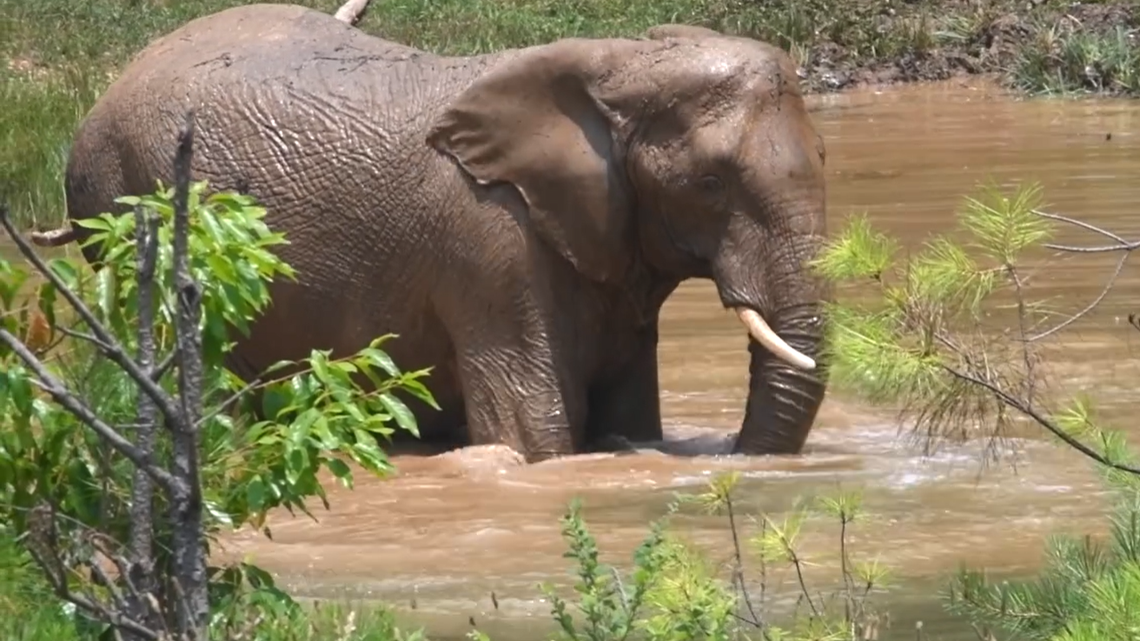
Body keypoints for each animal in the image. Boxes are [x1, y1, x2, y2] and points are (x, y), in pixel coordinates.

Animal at [32, 3, 832, 463]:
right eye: (711, 183)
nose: (731, 453)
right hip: (119, 194)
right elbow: (532, 437)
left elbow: (630, 416)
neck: (617, 60)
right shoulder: (492, 247)